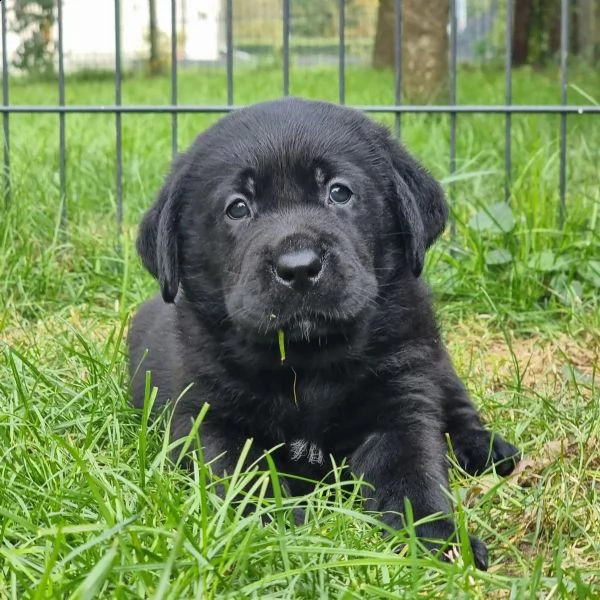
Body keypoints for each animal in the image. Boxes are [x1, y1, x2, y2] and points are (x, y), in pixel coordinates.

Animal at [130, 96, 520, 568]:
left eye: (339, 192)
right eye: (237, 207)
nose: (298, 267)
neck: (306, 361)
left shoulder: (401, 399)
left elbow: (414, 475)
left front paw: (439, 540)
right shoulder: (207, 415)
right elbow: (245, 476)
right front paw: (273, 532)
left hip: (434, 357)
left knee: (457, 402)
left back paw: (487, 448)